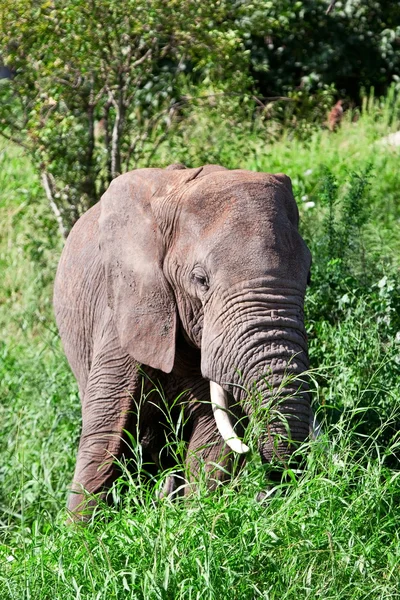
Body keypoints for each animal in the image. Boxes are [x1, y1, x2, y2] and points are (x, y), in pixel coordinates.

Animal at [54, 164, 312, 516]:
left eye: (308, 277)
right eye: (200, 280)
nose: (268, 489)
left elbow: (214, 438)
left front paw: (197, 515)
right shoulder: (126, 311)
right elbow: (104, 434)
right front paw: (80, 530)